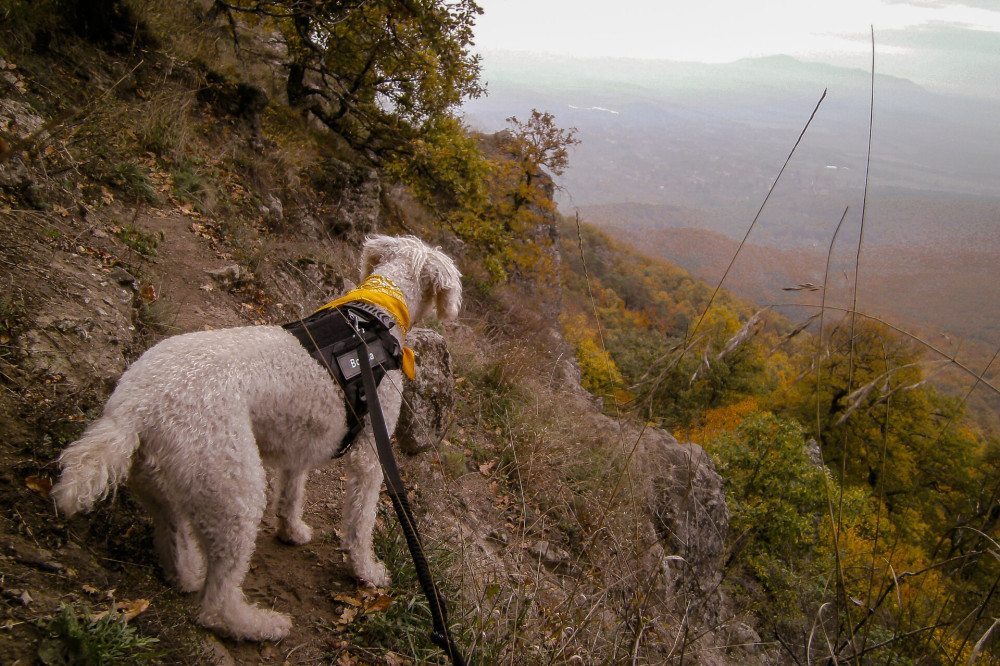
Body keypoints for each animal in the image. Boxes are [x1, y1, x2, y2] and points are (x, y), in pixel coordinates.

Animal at [50, 232, 460, 640]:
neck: (373, 315)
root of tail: (132, 410)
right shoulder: (370, 456)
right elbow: (360, 523)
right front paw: (367, 571)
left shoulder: (301, 442)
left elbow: (292, 493)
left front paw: (291, 530)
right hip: (235, 489)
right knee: (217, 603)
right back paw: (258, 625)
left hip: (167, 486)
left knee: (174, 544)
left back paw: (189, 574)